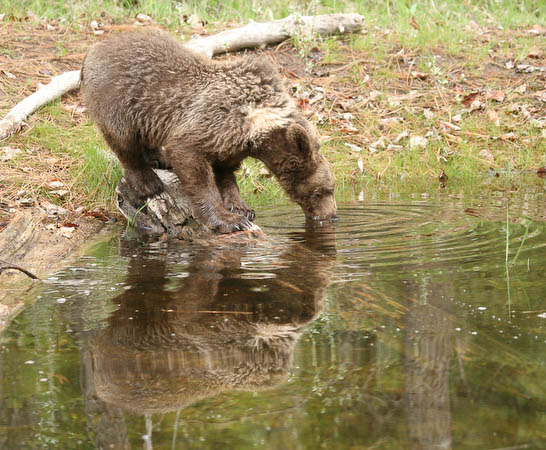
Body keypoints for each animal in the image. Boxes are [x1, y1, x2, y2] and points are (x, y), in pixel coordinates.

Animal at [81, 29, 336, 232]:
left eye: (330, 188)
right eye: (322, 191)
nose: (332, 215)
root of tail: (93, 49)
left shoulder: (231, 142)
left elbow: (226, 172)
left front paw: (241, 207)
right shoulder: (210, 122)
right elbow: (194, 168)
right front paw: (229, 220)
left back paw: (159, 158)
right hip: (119, 100)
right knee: (124, 143)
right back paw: (147, 181)